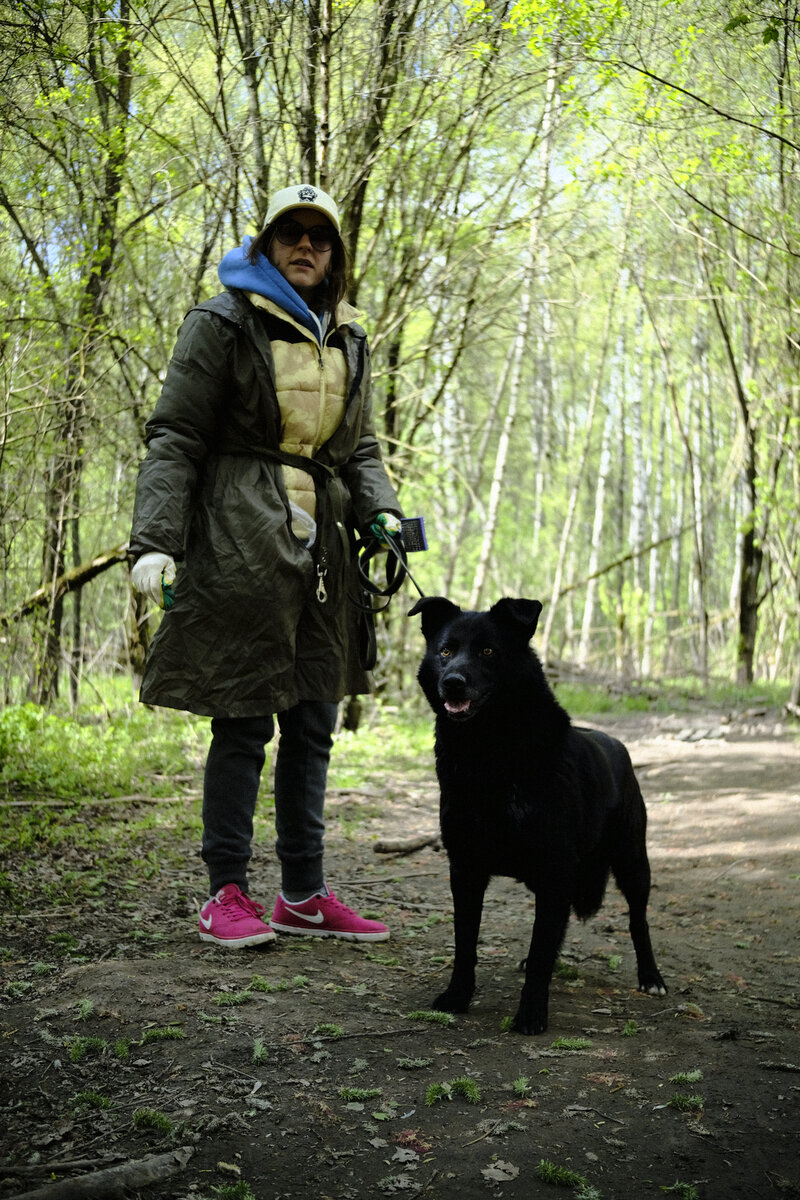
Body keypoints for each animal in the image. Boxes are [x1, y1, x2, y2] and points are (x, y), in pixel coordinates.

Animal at [410, 597, 666, 1032]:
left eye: (488, 651)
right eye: (445, 651)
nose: (453, 682)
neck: (490, 753)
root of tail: (615, 743)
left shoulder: (554, 867)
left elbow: (543, 945)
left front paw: (530, 1014)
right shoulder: (465, 868)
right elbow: (466, 943)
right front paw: (458, 996)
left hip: (633, 862)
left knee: (638, 920)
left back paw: (651, 977)